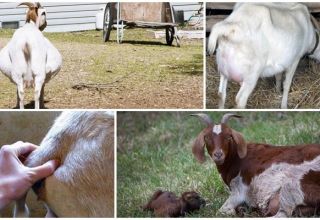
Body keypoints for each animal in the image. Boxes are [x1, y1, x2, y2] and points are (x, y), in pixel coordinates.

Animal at [192, 114, 320, 217]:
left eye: (228, 136)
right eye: (207, 138)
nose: (218, 154)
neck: (236, 158)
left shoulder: (238, 189)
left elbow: (222, 210)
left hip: (292, 185)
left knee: (281, 214)